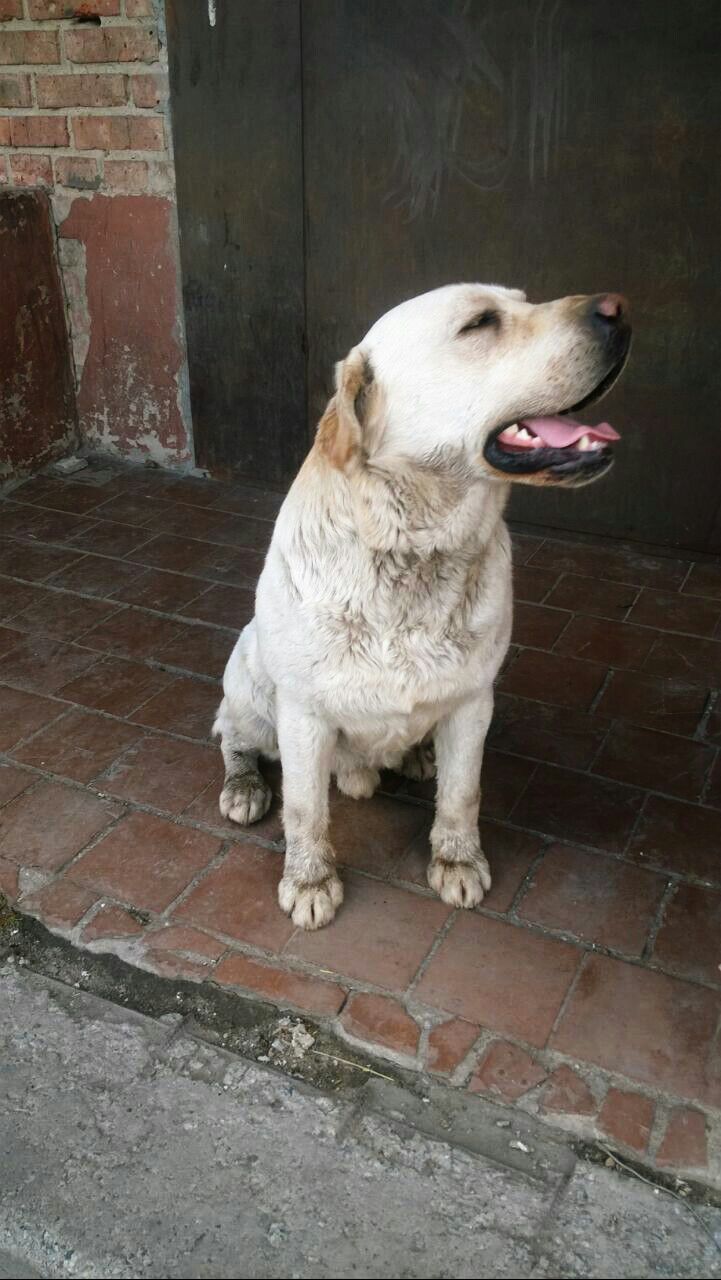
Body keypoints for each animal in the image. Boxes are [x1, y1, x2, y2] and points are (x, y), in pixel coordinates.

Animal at [212, 285, 632, 931]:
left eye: (523, 300)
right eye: (480, 322)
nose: (618, 308)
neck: (415, 547)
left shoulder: (473, 701)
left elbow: (462, 795)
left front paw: (457, 860)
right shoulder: (303, 713)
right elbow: (305, 810)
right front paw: (310, 880)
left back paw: (414, 757)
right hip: (251, 675)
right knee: (232, 733)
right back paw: (244, 785)